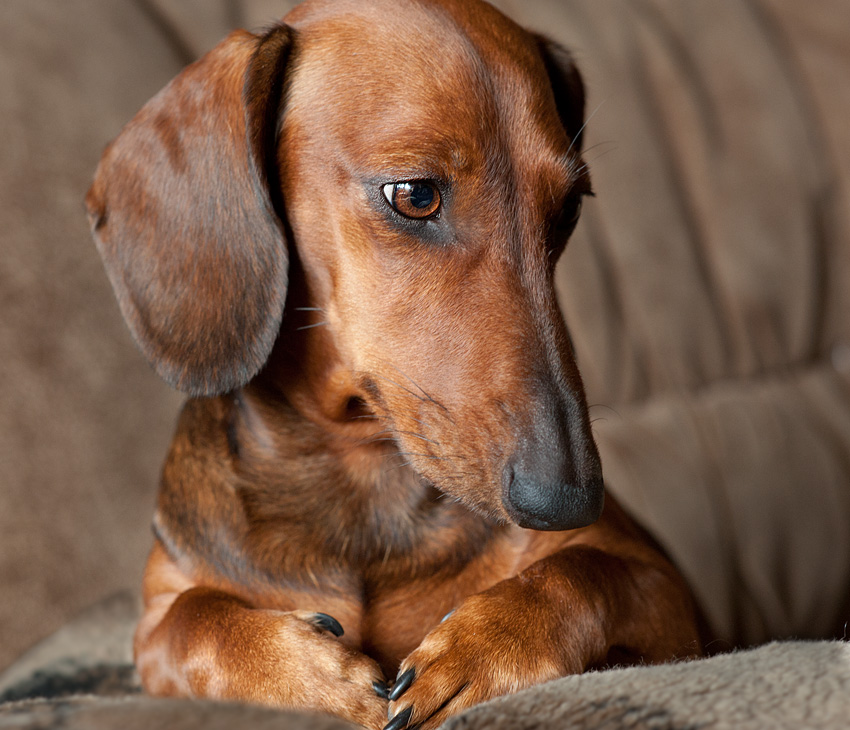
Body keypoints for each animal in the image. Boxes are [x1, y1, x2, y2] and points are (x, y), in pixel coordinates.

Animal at [86, 1, 700, 728]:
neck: (362, 479)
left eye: (568, 208)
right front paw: (311, 676)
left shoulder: (667, 593)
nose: (570, 500)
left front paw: (481, 648)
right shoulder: (155, 620)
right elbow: (192, 620)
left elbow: (581, 574)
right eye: (413, 195)